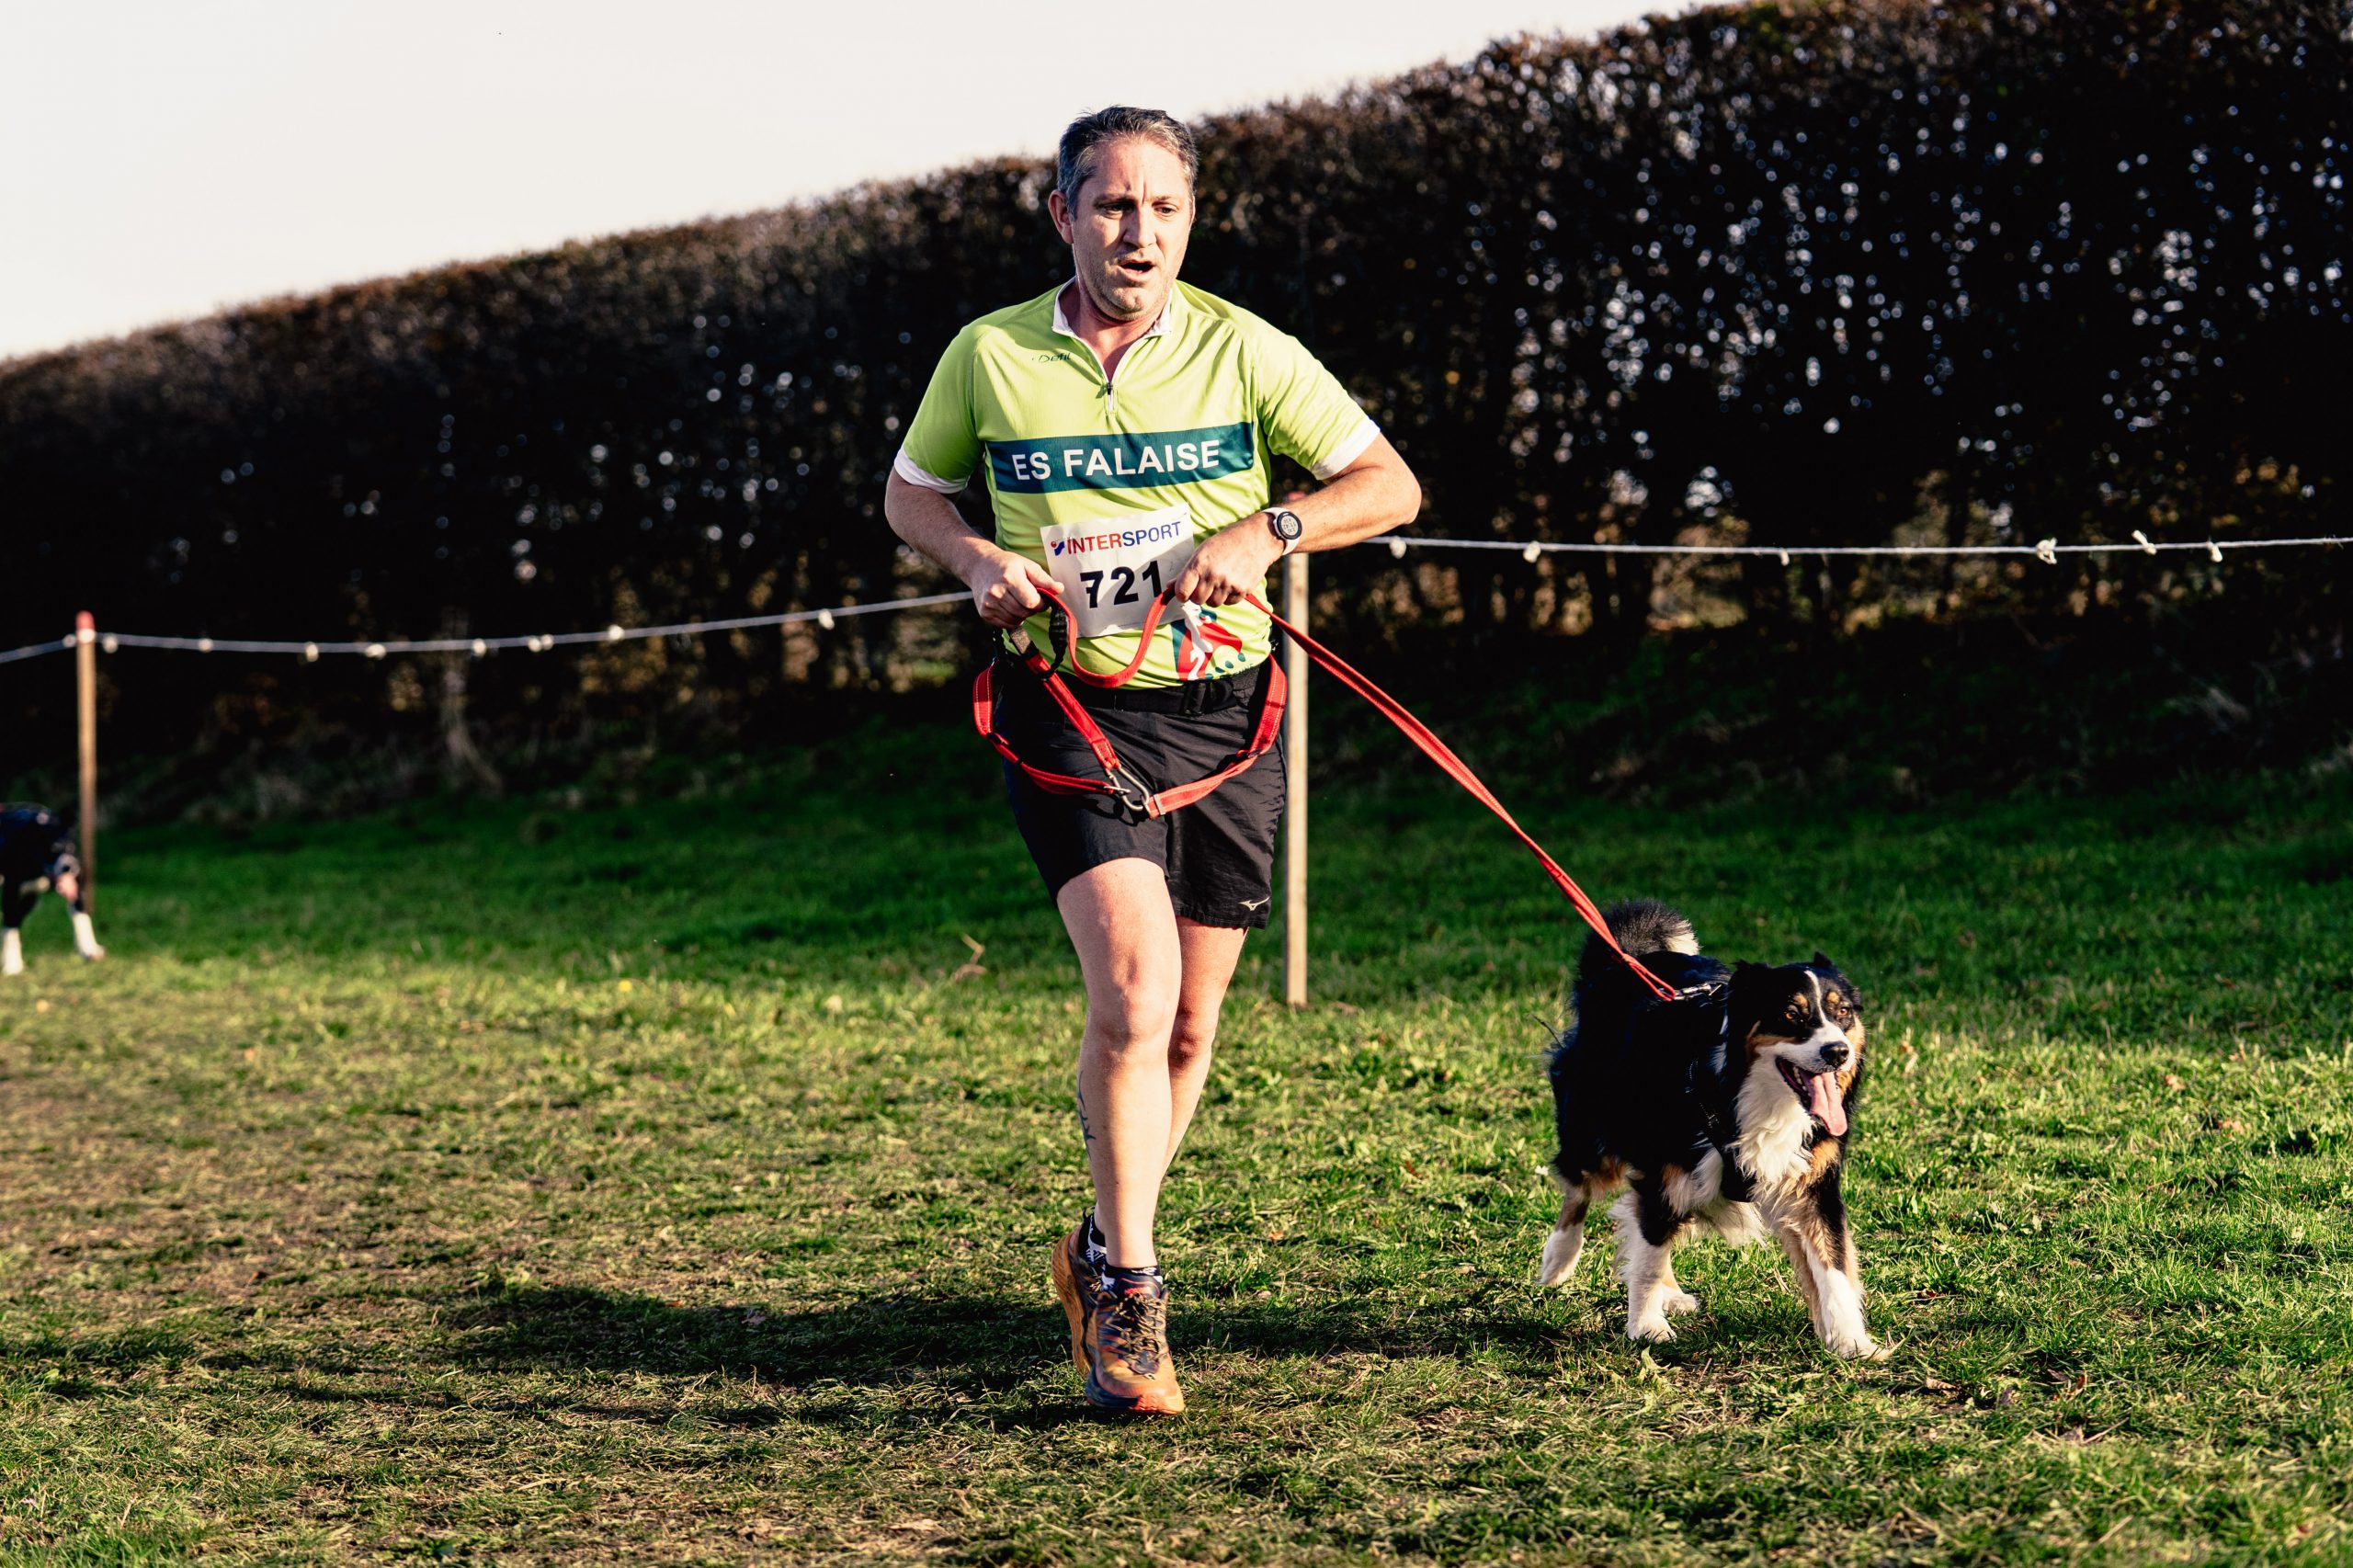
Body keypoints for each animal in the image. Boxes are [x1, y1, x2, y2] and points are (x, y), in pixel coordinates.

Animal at [1, 805, 105, 976]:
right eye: (52, 849)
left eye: (71, 847)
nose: (69, 867)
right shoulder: (12, 894)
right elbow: (11, 929)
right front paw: (12, 965)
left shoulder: (76, 888)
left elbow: (82, 919)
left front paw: (89, 949)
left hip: (30, 900)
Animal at [1536, 899, 1875, 1358]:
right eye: (1791, 1016)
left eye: (1843, 1014)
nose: (1837, 1052)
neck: (1748, 1093)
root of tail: (1631, 958)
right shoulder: (1663, 1173)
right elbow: (1649, 1250)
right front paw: (1646, 1327)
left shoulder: (1813, 1184)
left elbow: (1833, 1262)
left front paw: (1850, 1340)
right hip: (1592, 1126)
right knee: (1581, 1188)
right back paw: (1559, 1260)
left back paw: (1671, 1293)